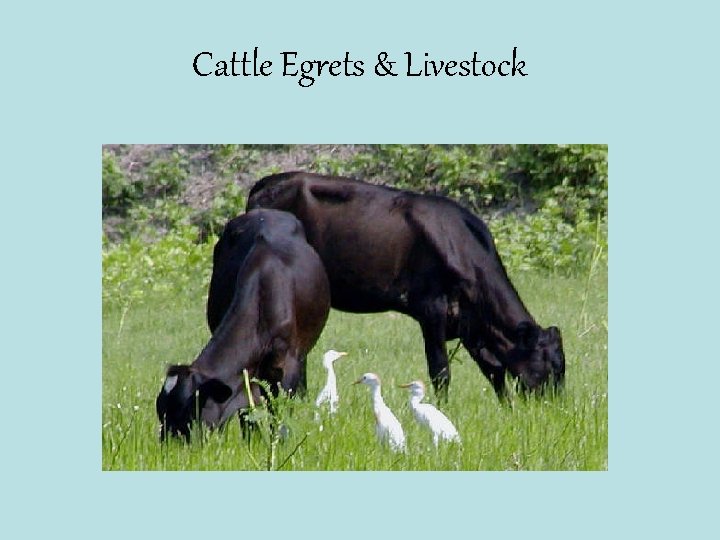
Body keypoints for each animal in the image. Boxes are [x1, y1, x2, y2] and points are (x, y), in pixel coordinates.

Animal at [156, 208, 331, 441]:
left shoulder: (287, 364)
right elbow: (248, 414)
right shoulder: (246, 376)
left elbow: (280, 412)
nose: (168, 445)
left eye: (188, 410)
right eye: (161, 410)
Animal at [247, 172, 565, 400]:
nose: (556, 406)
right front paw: (441, 409)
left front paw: (507, 409)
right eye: (552, 366)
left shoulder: (470, 323)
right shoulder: (432, 310)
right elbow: (440, 370)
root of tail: (265, 183)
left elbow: (494, 370)